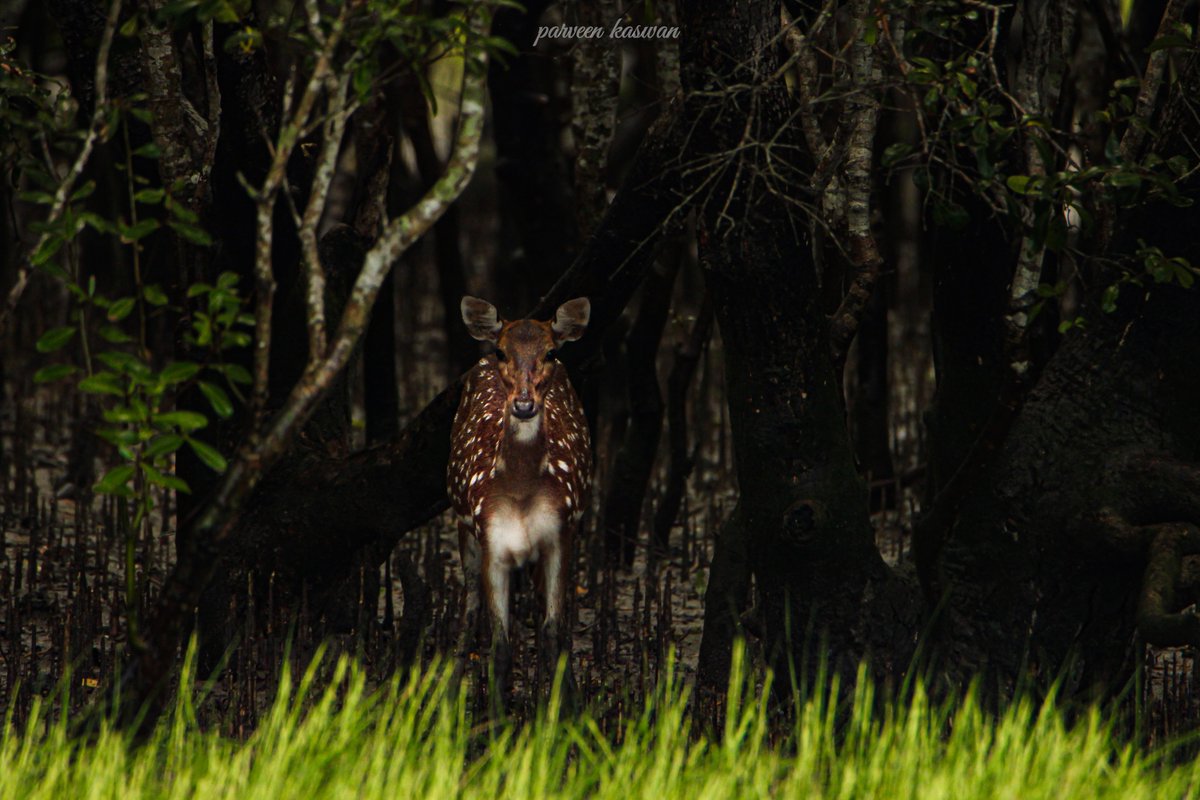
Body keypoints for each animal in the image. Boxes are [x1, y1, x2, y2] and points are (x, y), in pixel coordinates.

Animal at [448, 296, 592, 695]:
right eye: (502, 350)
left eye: (551, 352)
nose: (524, 404)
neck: (521, 493)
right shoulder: (492, 542)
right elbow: (500, 646)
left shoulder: (559, 537)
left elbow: (553, 634)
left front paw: (562, 706)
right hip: (463, 528)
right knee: (468, 606)